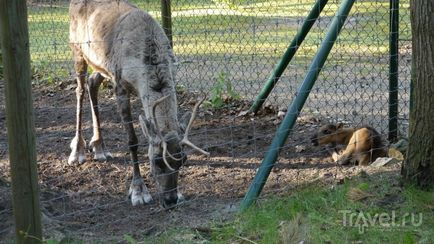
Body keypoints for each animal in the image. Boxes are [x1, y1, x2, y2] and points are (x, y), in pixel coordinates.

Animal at [68, 0, 209, 207]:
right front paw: (138, 190)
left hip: (101, 65)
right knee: (79, 90)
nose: (171, 200)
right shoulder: (120, 86)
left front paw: (180, 192)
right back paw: (77, 151)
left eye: (182, 160)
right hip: (78, 51)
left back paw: (100, 147)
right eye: (157, 161)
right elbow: (132, 141)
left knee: (92, 83)